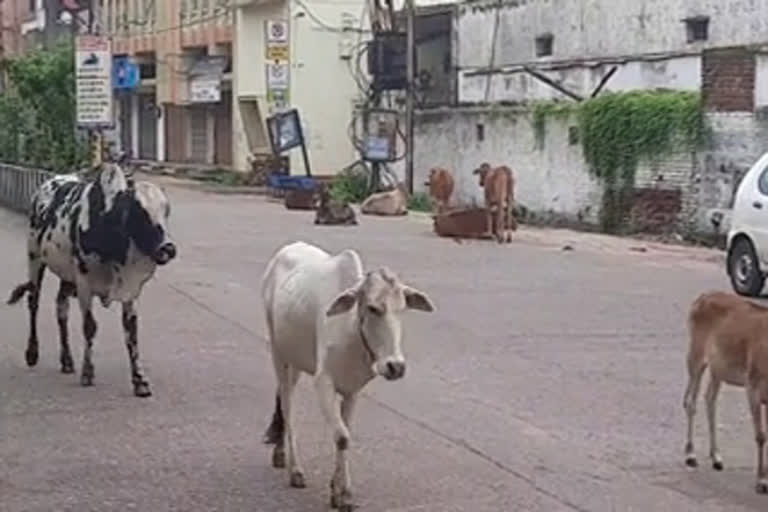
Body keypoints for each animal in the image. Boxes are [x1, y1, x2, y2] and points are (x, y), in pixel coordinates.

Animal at [6, 162, 177, 398]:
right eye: (138, 212)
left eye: (166, 210)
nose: (167, 249)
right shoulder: (85, 285)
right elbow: (90, 327)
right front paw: (88, 373)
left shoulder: (129, 291)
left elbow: (131, 332)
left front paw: (139, 380)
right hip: (34, 257)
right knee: (34, 302)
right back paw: (32, 353)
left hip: (66, 276)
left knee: (61, 308)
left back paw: (67, 360)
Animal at [260, 242, 436, 510]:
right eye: (373, 308)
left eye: (402, 308)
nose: (395, 366)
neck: (352, 331)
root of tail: (287, 249)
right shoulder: (323, 383)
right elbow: (342, 436)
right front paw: (345, 495)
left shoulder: (353, 391)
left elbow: (346, 433)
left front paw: (338, 489)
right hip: (278, 352)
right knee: (288, 406)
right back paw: (295, 469)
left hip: (295, 358)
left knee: (282, 394)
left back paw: (280, 452)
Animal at [688, 290, 768, 494]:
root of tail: (701, 298)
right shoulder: (753, 386)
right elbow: (761, 436)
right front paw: (761, 481)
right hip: (696, 355)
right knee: (690, 401)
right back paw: (690, 455)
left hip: (718, 369)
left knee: (709, 399)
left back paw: (716, 456)